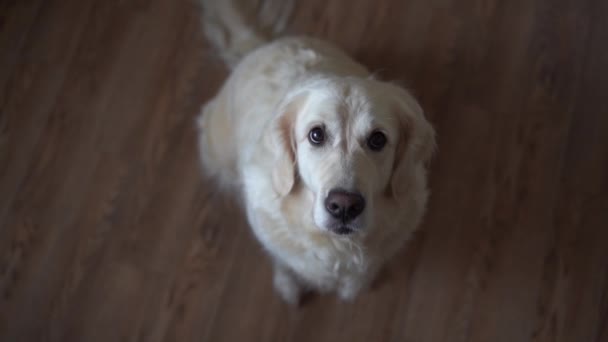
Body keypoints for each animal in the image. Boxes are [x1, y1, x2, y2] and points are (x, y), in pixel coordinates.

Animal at [197, 0, 434, 304]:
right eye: (316, 135)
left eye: (378, 139)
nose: (344, 206)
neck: (338, 246)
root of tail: (261, 46)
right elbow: (282, 261)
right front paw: (288, 285)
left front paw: (354, 288)